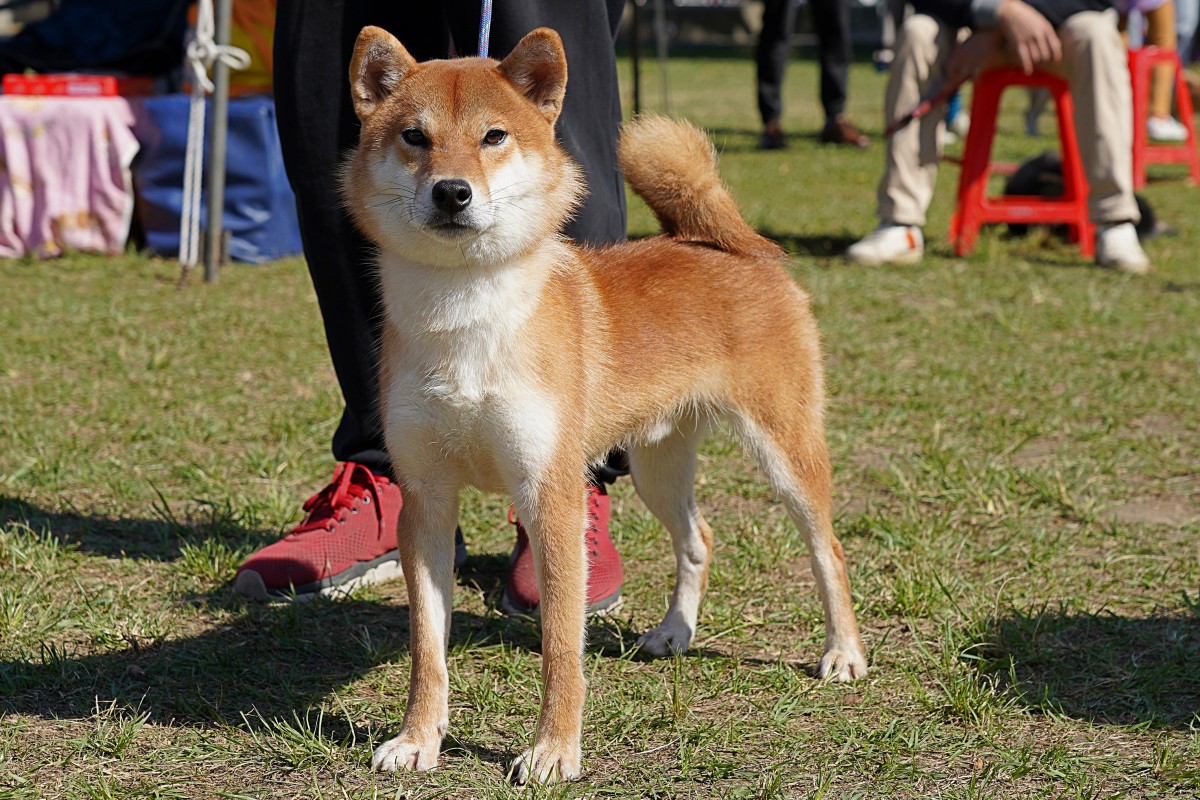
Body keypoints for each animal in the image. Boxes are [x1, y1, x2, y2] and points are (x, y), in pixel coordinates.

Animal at [343, 23, 868, 782]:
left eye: (494, 136)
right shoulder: (426, 499)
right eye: (415, 136)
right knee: (699, 539)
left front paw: (554, 751)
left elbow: (562, 648)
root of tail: (726, 244)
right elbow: (427, 650)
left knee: (828, 549)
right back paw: (675, 631)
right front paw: (419, 739)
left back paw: (844, 651)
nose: (451, 192)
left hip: (784, 453)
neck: (465, 316)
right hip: (656, 466)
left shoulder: (551, 496)